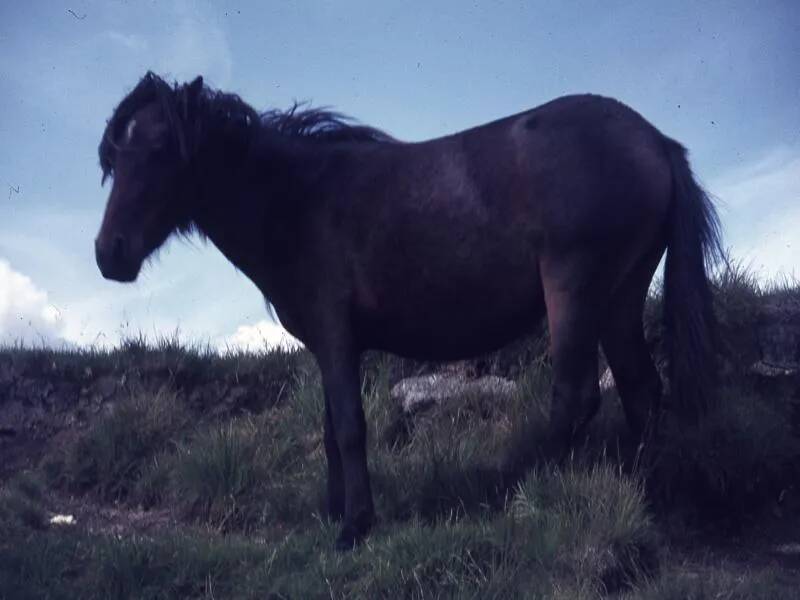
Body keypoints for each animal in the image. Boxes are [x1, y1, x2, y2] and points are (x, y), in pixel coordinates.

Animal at [97, 72, 720, 552]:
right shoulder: (330, 345)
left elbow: (350, 428)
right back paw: (649, 494)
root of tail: (652, 140)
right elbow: (330, 430)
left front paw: (355, 526)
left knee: (576, 396)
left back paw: (520, 492)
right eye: (113, 156)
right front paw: (336, 512)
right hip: (618, 299)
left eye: (161, 150)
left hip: (575, 290)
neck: (297, 200)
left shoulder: (336, 336)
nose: (109, 253)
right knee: (641, 391)